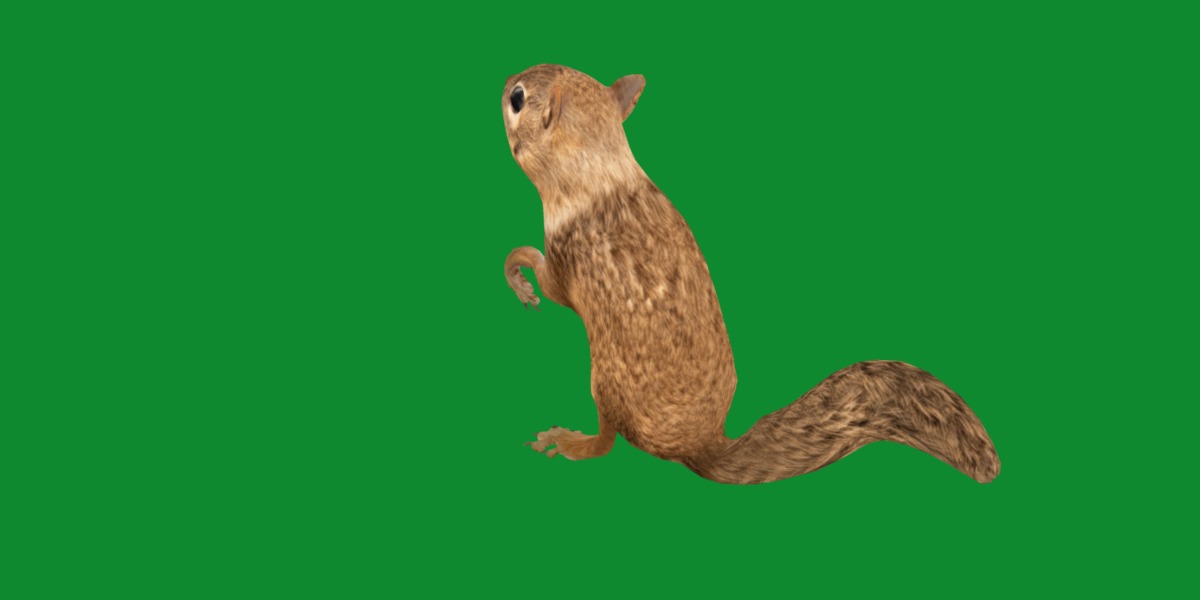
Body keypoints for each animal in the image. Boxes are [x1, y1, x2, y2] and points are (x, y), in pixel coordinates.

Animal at [501, 64, 1000, 484]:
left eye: (518, 99)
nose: (506, 81)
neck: (595, 170)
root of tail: (700, 445)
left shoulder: (568, 256)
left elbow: (546, 277)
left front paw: (520, 278)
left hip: (604, 381)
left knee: (609, 440)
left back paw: (571, 441)